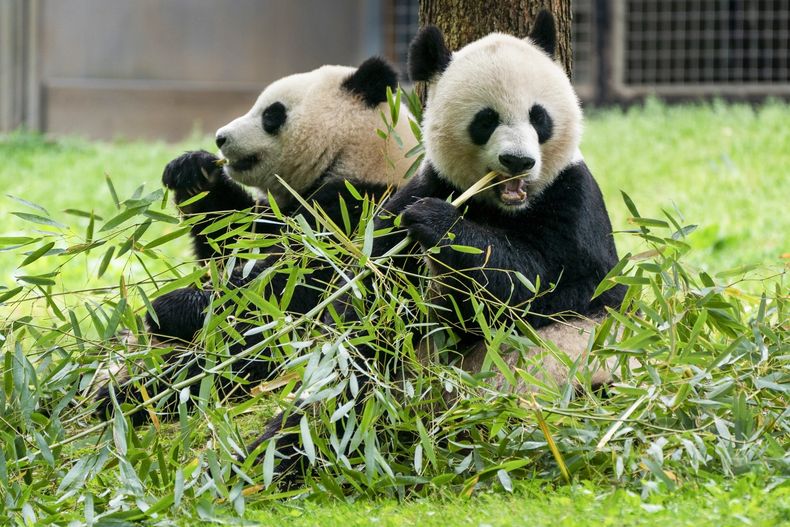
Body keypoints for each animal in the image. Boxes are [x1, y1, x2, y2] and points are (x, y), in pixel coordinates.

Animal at [95, 57, 418, 423]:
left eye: (271, 114)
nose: (220, 138)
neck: (361, 156)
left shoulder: (357, 212)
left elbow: (288, 287)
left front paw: (169, 307)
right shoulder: (282, 211)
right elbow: (231, 239)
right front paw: (192, 171)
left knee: (228, 363)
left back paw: (127, 397)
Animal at [243, 11, 626, 477]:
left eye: (539, 118)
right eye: (486, 120)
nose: (518, 161)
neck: (502, 207)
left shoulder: (574, 202)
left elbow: (548, 284)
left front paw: (440, 224)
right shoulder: (420, 190)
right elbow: (371, 305)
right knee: (345, 397)